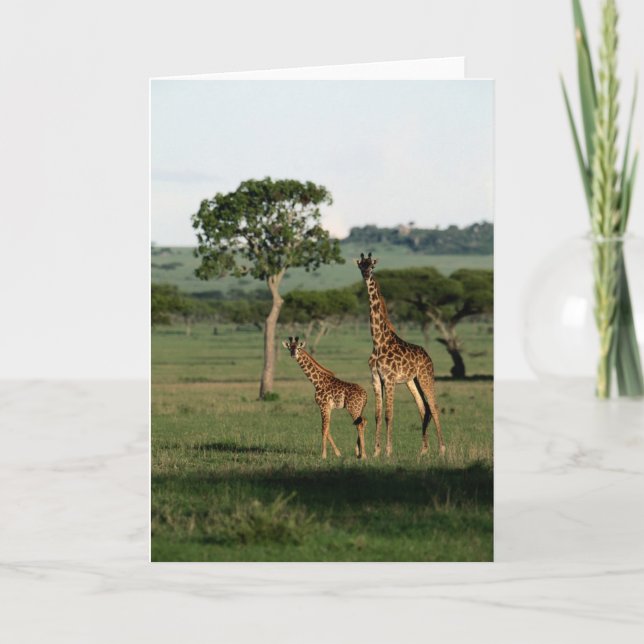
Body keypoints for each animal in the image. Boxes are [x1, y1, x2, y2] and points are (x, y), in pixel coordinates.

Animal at [356, 252, 445, 457]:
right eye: (361, 266)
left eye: (372, 266)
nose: (366, 274)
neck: (378, 342)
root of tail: (428, 356)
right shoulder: (376, 379)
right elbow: (378, 414)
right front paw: (376, 451)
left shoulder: (389, 379)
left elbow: (389, 415)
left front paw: (388, 451)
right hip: (412, 381)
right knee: (423, 408)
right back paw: (423, 450)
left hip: (425, 377)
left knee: (434, 406)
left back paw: (442, 449)